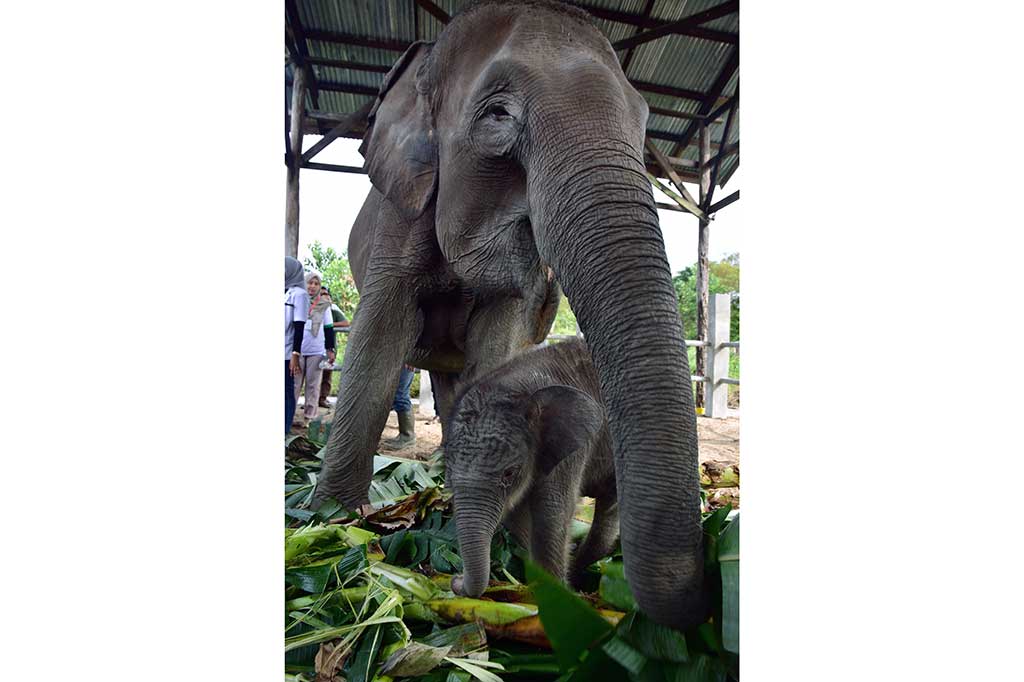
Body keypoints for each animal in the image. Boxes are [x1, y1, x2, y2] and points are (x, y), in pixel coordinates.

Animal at [441, 339, 619, 598]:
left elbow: (550, 516)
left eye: (509, 473)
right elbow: (517, 515)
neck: (515, 387)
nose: (455, 581)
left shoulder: (569, 450)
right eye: (449, 470)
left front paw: (556, 595)